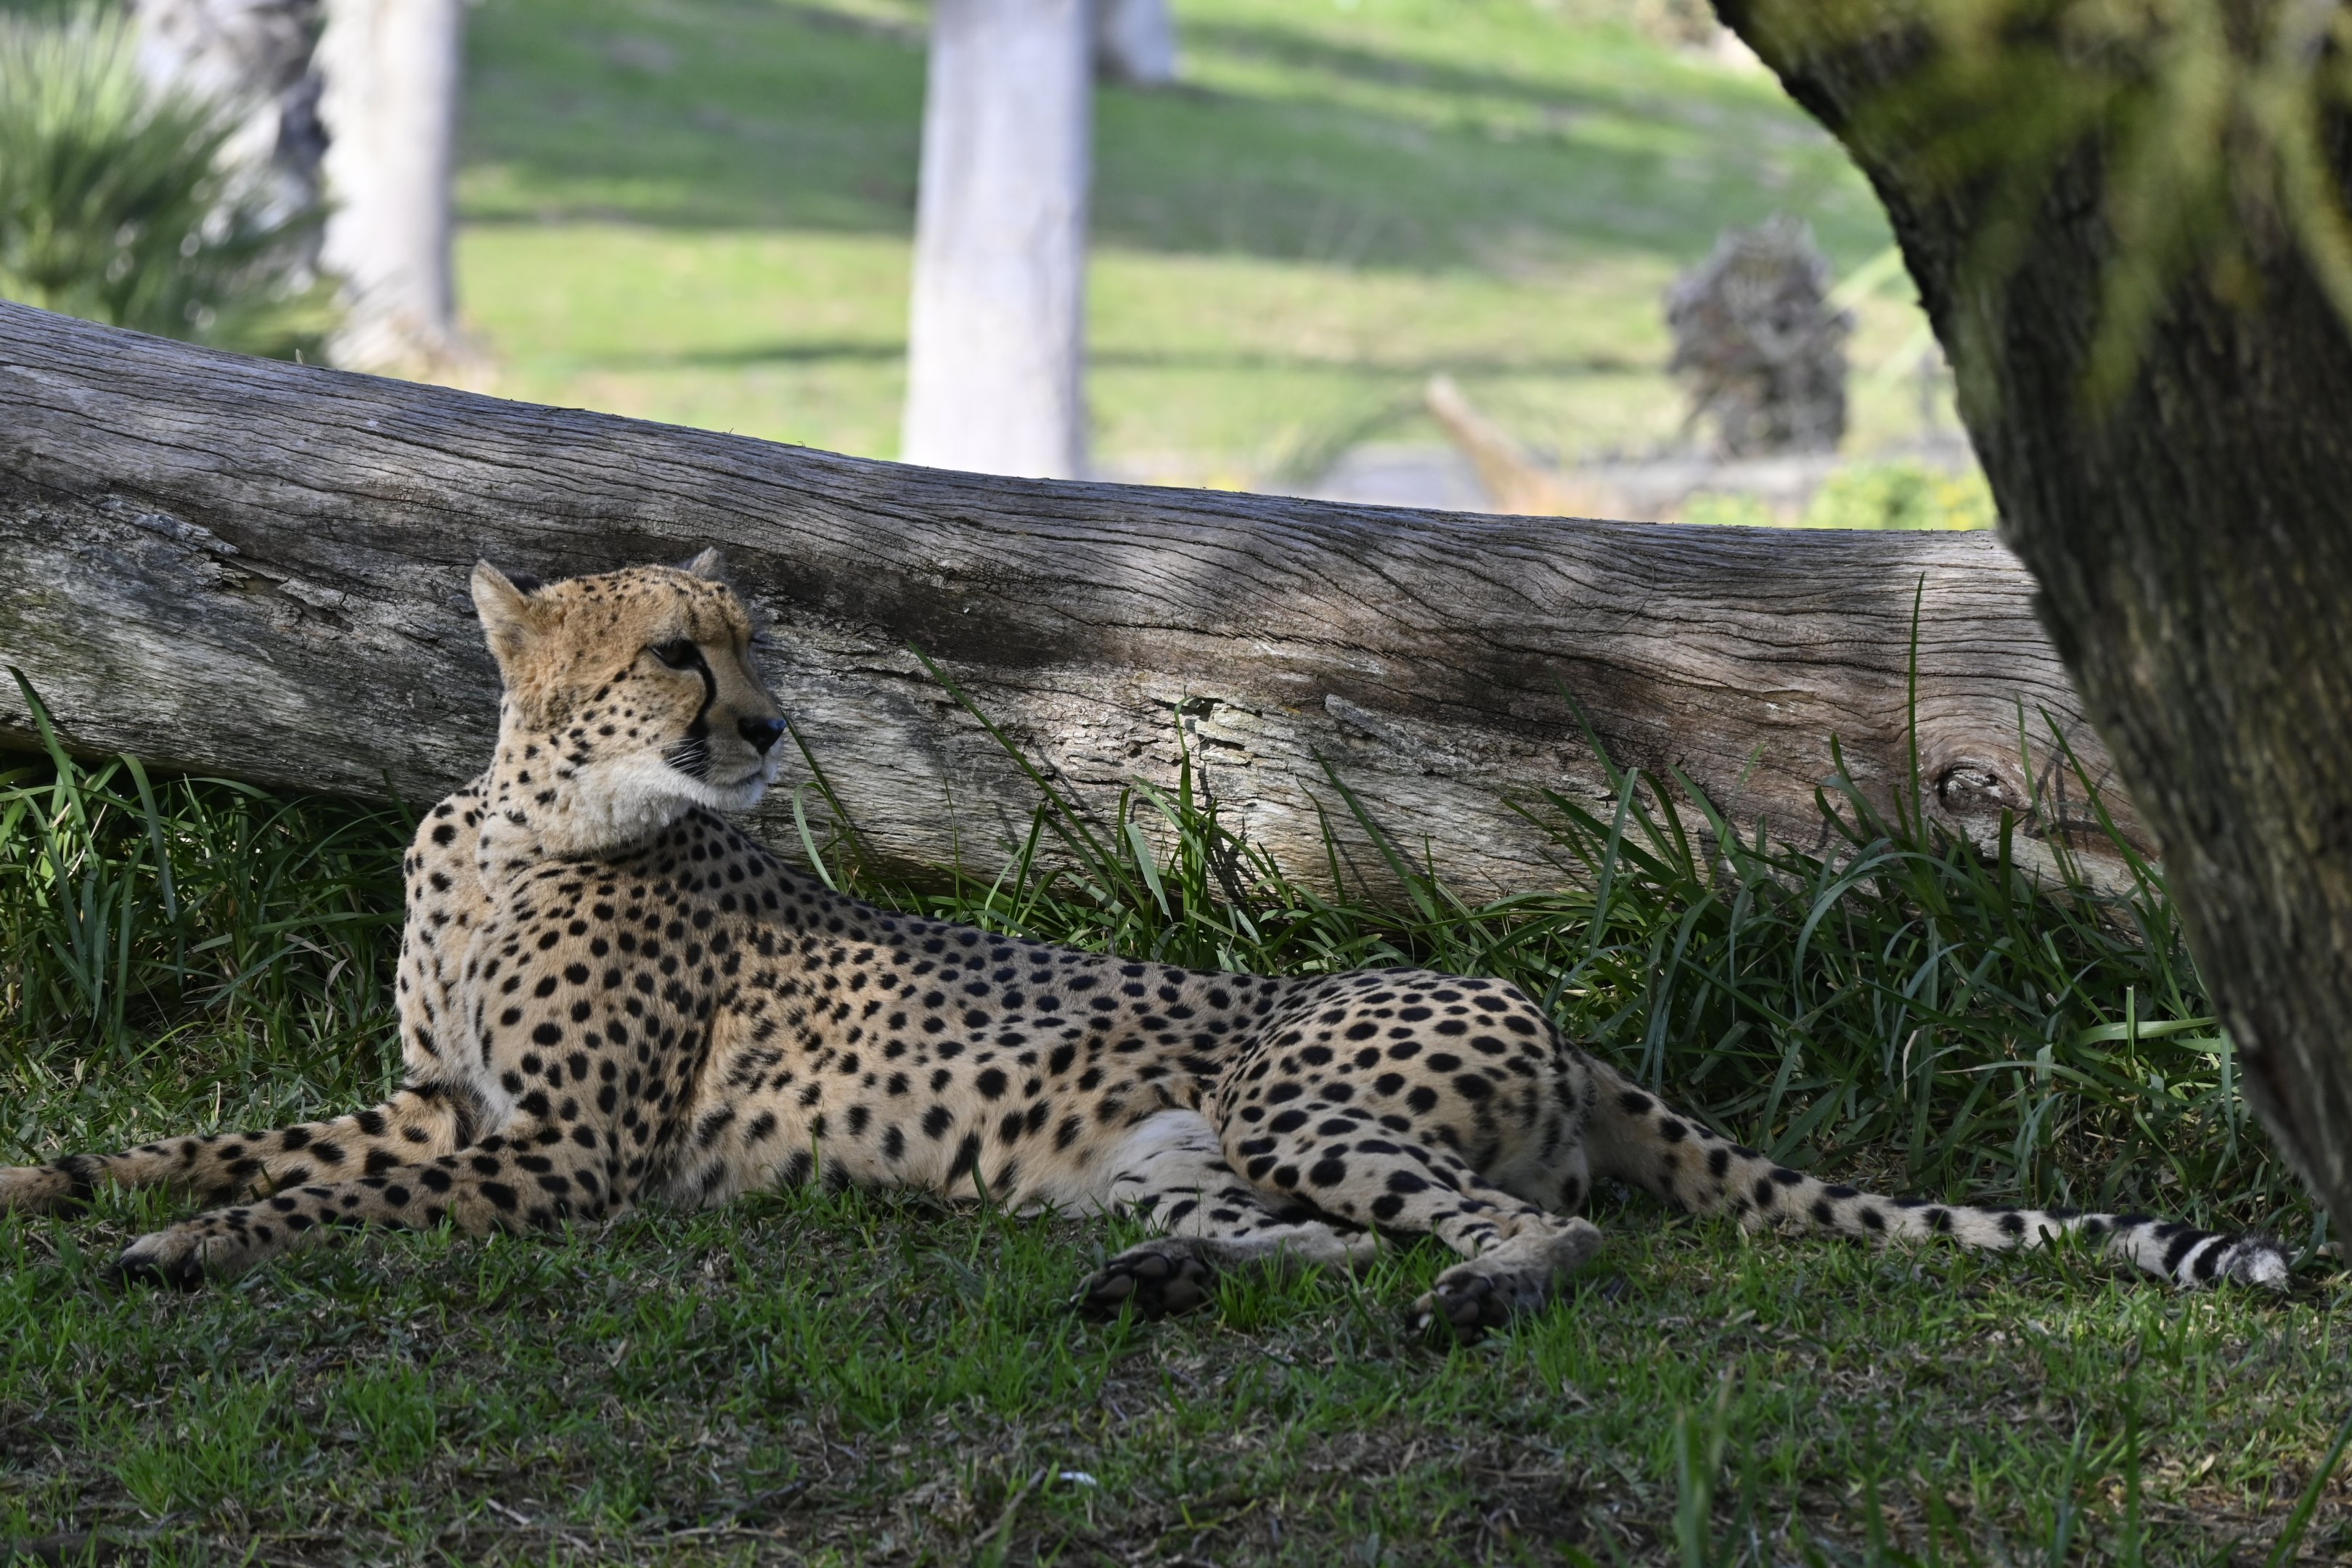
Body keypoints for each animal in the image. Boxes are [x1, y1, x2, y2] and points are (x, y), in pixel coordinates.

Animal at [0, 553, 2291, 1341]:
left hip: (1299, 1084)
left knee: (1529, 1229)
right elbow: (238, 1140)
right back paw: (1155, 1279)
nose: (775, 730)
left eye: (757, 642)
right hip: (1191, 1149)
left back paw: (1460, 1304)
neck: (526, 826)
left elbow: (318, 1196)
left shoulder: (560, 1157)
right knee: (1339, 1235)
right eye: (678, 652)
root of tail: (1551, 1010)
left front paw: (187, 1249)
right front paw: (70, 1183)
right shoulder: (438, 1099)